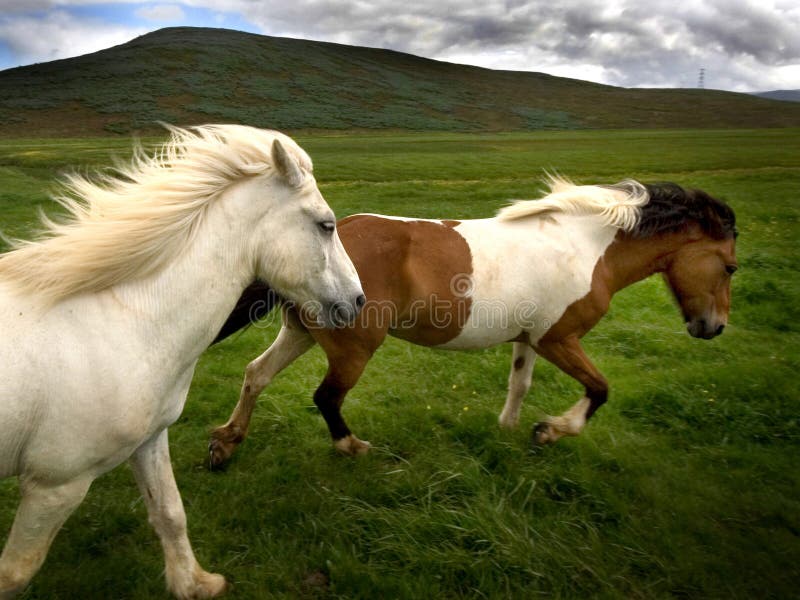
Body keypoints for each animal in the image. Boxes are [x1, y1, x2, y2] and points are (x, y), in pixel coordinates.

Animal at [0, 124, 362, 596]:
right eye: (326, 225)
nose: (358, 300)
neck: (129, 323)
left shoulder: (149, 440)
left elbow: (170, 513)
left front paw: (195, 584)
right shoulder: (54, 485)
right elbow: (15, 571)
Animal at [208, 176, 736, 462]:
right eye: (730, 266)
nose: (713, 328)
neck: (588, 248)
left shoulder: (529, 339)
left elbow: (519, 384)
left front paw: (508, 430)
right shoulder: (559, 339)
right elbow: (600, 389)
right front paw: (550, 431)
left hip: (303, 331)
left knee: (256, 374)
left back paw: (225, 443)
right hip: (352, 348)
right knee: (326, 397)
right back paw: (352, 447)